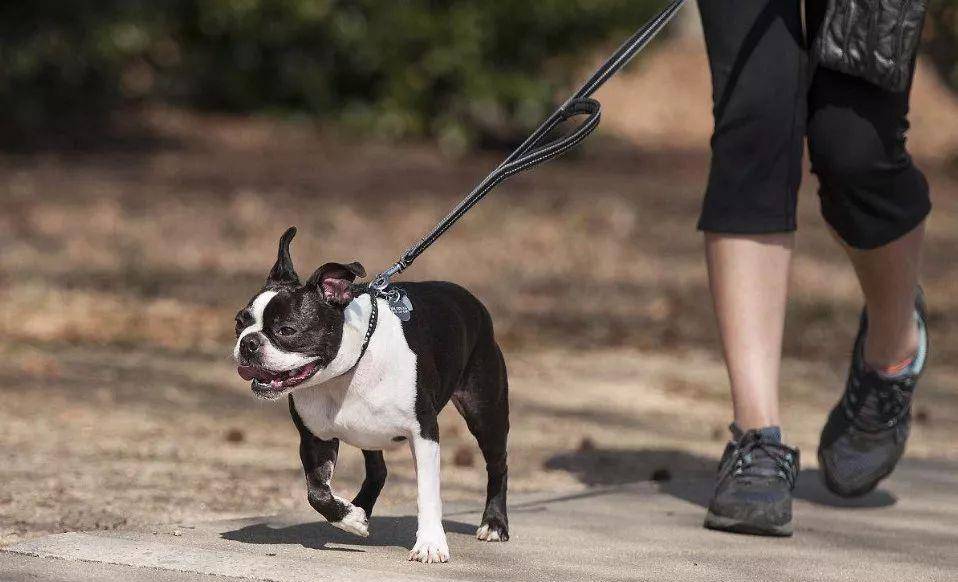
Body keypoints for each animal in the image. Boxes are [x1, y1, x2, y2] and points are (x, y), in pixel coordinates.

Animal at [232, 229, 510, 564]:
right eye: (239, 322)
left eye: (287, 330)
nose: (248, 342)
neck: (345, 372)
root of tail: (471, 300)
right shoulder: (315, 439)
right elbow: (317, 492)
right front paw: (349, 518)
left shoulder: (424, 433)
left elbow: (427, 493)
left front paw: (430, 543)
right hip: (369, 433)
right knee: (378, 469)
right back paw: (359, 508)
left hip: (485, 413)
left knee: (498, 464)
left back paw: (494, 524)